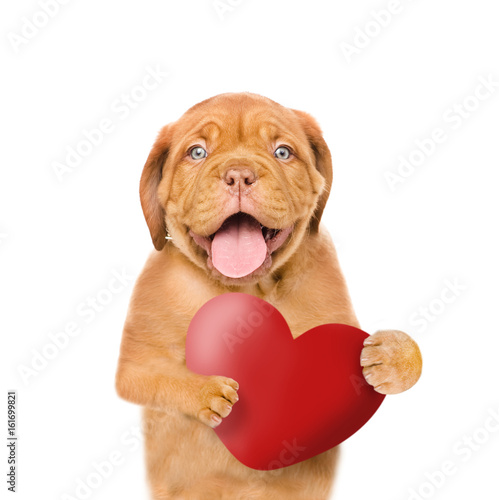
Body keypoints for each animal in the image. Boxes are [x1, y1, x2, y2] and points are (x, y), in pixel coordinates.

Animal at [116, 92, 422, 498]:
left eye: (282, 152)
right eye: (197, 152)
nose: (239, 175)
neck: (249, 288)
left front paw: (392, 354)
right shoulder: (135, 363)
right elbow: (158, 379)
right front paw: (206, 391)